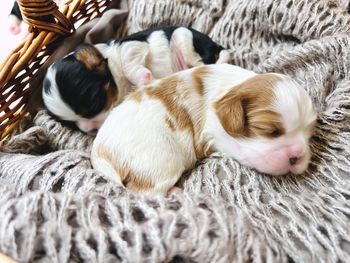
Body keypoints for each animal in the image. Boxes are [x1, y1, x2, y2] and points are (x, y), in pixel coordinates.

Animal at [41, 26, 230, 135]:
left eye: (95, 103)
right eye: (73, 126)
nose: (91, 130)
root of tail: (214, 44)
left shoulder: (129, 45)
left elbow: (127, 60)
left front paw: (143, 77)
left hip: (183, 36)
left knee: (209, 61)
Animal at [90, 64, 318, 196]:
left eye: (309, 134)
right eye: (270, 131)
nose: (297, 156)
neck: (231, 86)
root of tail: (101, 152)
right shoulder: (214, 131)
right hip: (161, 163)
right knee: (147, 193)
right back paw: (175, 193)